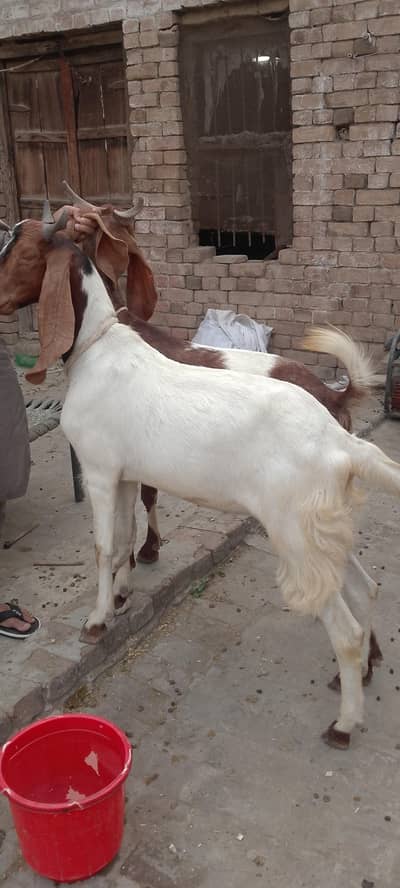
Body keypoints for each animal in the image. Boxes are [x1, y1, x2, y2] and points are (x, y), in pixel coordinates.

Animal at [0, 213, 398, 750]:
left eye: (21, 252)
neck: (96, 350)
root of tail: (340, 441)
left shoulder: (100, 471)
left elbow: (103, 548)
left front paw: (97, 620)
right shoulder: (125, 475)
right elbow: (123, 540)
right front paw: (122, 598)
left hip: (296, 536)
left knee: (345, 630)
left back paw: (344, 723)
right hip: (325, 529)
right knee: (367, 587)